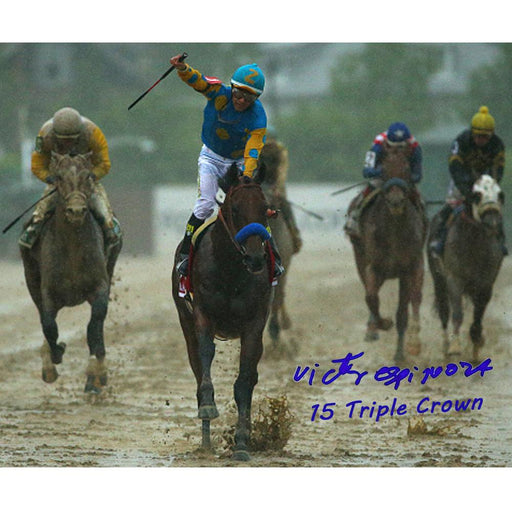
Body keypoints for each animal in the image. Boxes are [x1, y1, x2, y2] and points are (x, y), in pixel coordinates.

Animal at [20, 152, 122, 392]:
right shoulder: (48, 292)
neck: (73, 250)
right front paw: (54, 356)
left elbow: (94, 327)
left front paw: (96, 375)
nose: (76, 210)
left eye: (88, 176)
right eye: (58, 177)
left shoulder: (100, 286)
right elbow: (49, 326)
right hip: (31, 277)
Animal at [171, 163, 276, 460]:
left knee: (251, 376)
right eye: (236, 209)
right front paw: (208, 406)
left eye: (265, 209)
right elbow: (205, 357)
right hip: (185, 321)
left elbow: (244, 382)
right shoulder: (202, 315)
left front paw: (241, 442)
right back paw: (206, 439)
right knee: (197, 367)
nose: (255, 258)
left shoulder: (254, 323)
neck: (230, 270)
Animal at [348, 149, 428, 360]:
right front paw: (382, 324)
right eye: (383, 169)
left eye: (407, 169)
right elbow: (371, 298)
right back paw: (373, 328)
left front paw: (408, 347)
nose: (396, 201)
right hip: (360, 257)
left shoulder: (409, 268)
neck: (394, 230)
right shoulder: (374, 267)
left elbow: (407, 308)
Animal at [428, 176, 504, 360]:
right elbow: (457, 314)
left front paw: (476, 344)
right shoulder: (454, 279)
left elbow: (478, 316)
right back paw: (446, 346)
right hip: (438, 280)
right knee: (444, 311)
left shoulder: (486, 283)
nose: (493, 221)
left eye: (500, 194)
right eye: (476, 195)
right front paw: (455, 346)